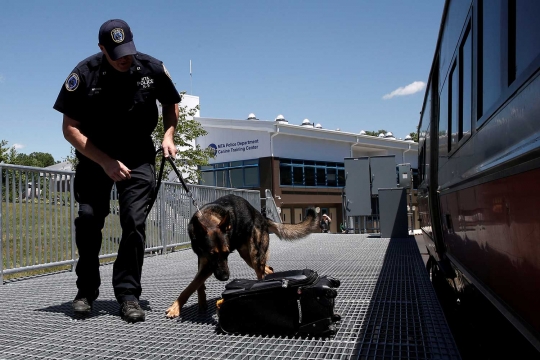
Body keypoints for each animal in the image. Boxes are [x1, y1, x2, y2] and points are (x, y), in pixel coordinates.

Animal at [163, 194, 316, 318]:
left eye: (227, 253)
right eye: (213, 254)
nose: (226, 278)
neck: (208, 219)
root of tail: (261, 216)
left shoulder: (209, 266)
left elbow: (191, 285)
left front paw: (175, 307)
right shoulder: (203, 259)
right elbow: (197, 283)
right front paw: (201, 302)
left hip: (254, 255)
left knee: (261, 274)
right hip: (247, 256)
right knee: (268, 269)